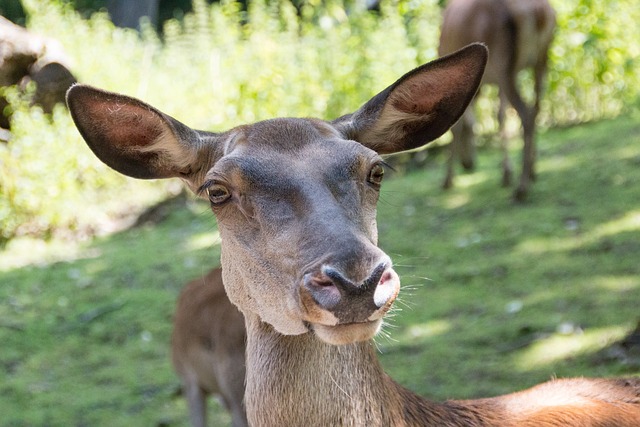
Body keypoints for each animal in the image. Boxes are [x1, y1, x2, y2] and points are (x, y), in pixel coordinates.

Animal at [440, 0, 556, 202]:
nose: (468, 164)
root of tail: (540, 12)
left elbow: (458, 126)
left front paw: (448, 180)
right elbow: (500, 116)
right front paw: (506, 173)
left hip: (505, 64)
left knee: (526, 115)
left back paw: (521, 188)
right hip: (541, 60)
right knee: (536, 110)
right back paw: (532, 172)